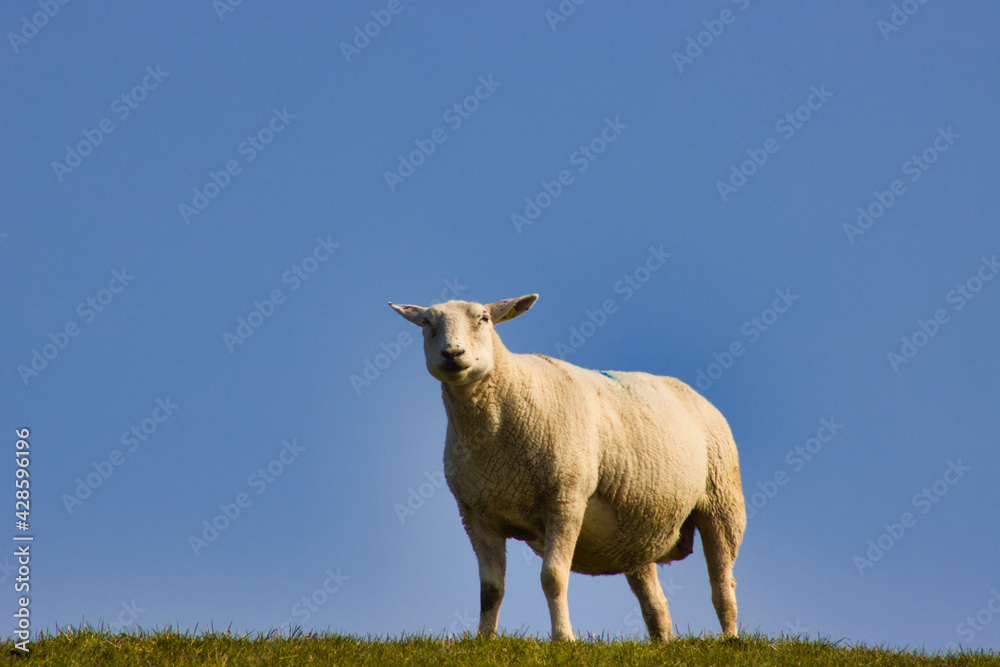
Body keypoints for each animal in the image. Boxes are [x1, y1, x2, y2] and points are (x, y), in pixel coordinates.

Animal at [388, 294, 745, 642]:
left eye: (484, 318)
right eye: (426, 323)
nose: (453, 353)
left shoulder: (565, 499)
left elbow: (553, 577)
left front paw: (563, 638)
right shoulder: (476, 514)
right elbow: (490, 589)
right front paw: (484, 640)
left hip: (722, 503)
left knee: (723, 583)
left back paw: (729, 638)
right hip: (637, 530)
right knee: (655, 604)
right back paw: (663, 643)